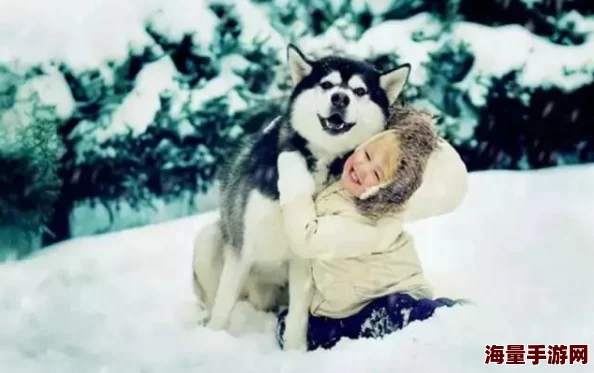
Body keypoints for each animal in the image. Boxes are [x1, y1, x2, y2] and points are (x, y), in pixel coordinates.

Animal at [192, 44, 410, 348]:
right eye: (327, 84)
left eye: (359, 91)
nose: (340, 98)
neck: (319, 157)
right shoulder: (242, 246)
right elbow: (223, 306)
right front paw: (212, 340)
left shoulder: (304, 256)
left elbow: (297, 316)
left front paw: (295, 352)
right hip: (210, 240)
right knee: (215, 300)